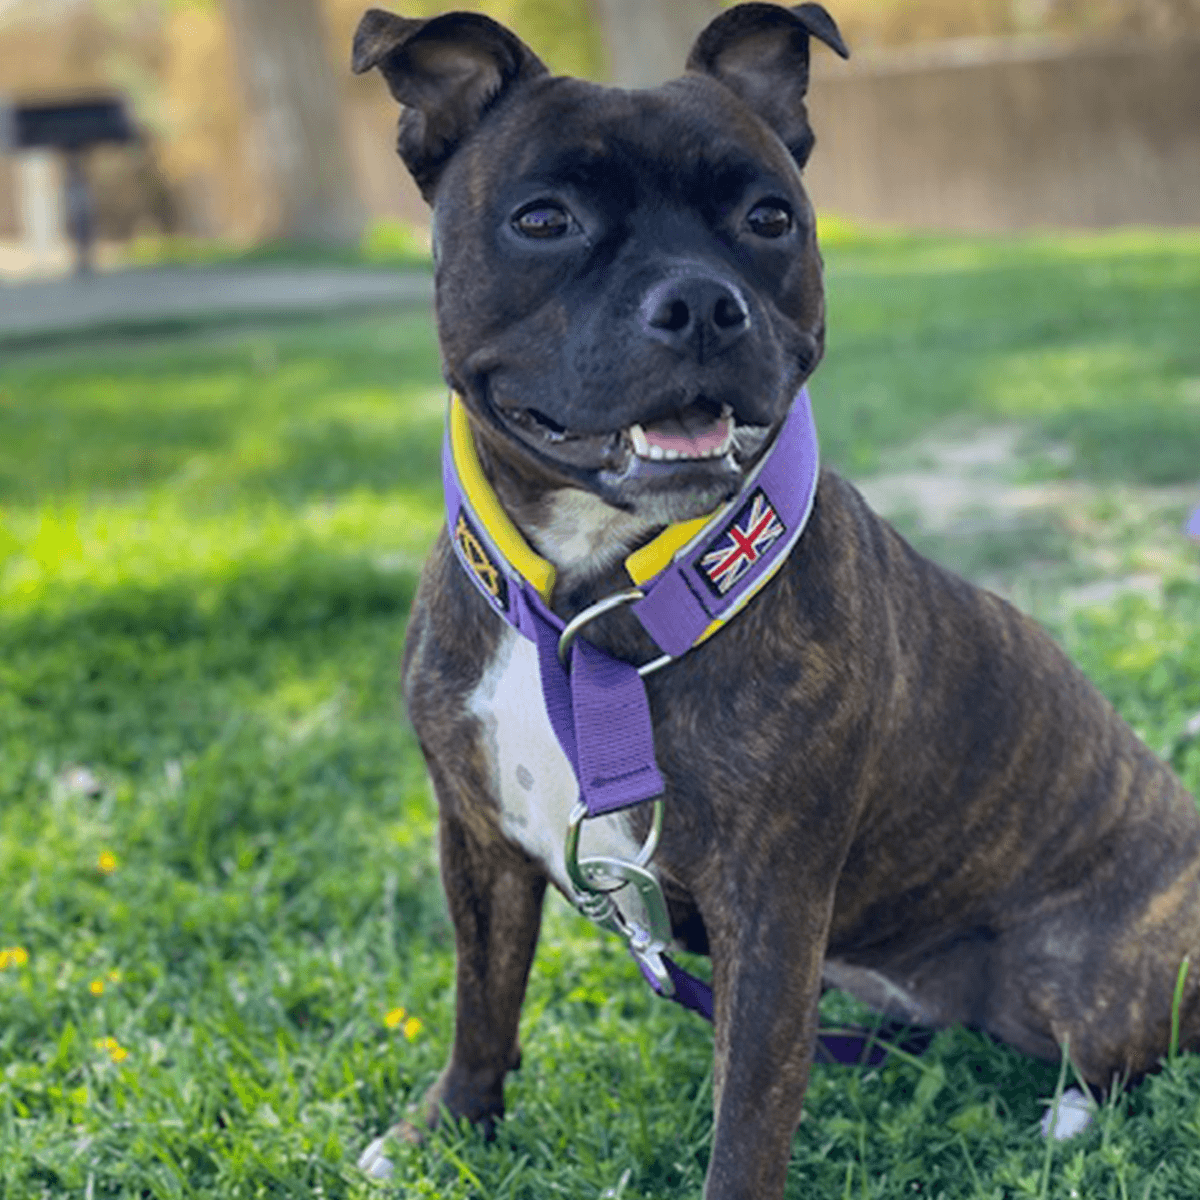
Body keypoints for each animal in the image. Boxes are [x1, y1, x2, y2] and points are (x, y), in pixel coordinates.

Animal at [348, 4, 1200, 1195]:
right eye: (543, 218)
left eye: (769, 217)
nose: (702, 302)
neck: (586, 605)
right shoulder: (477, 837)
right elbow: (483, 998)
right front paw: (450, 1127)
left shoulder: (771, 899)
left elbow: (749, 1105)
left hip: (1079, 971)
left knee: (1119, 1052)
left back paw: (1065, 1119)